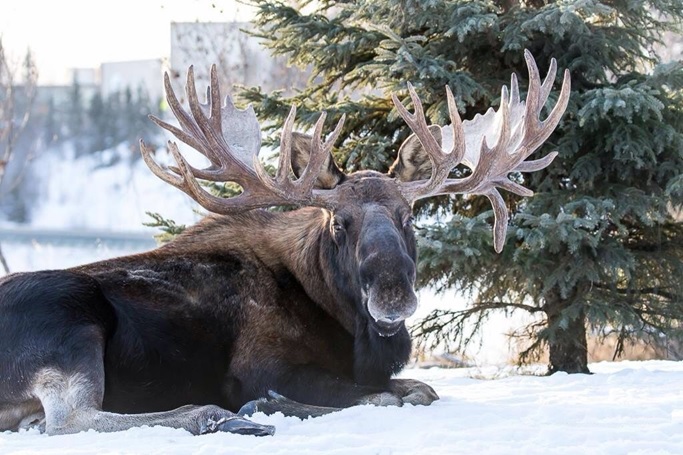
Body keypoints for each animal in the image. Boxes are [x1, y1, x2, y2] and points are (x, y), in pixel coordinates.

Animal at [0, 50, 569, 437]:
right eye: (339, 222)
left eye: (409, 217)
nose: (392, 294)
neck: (353, 330)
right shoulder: (263, 365)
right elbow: (391, 396)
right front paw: (265, 404)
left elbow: (418, 389)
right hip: (72, 320)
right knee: (68, 419)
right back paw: (218, 414)